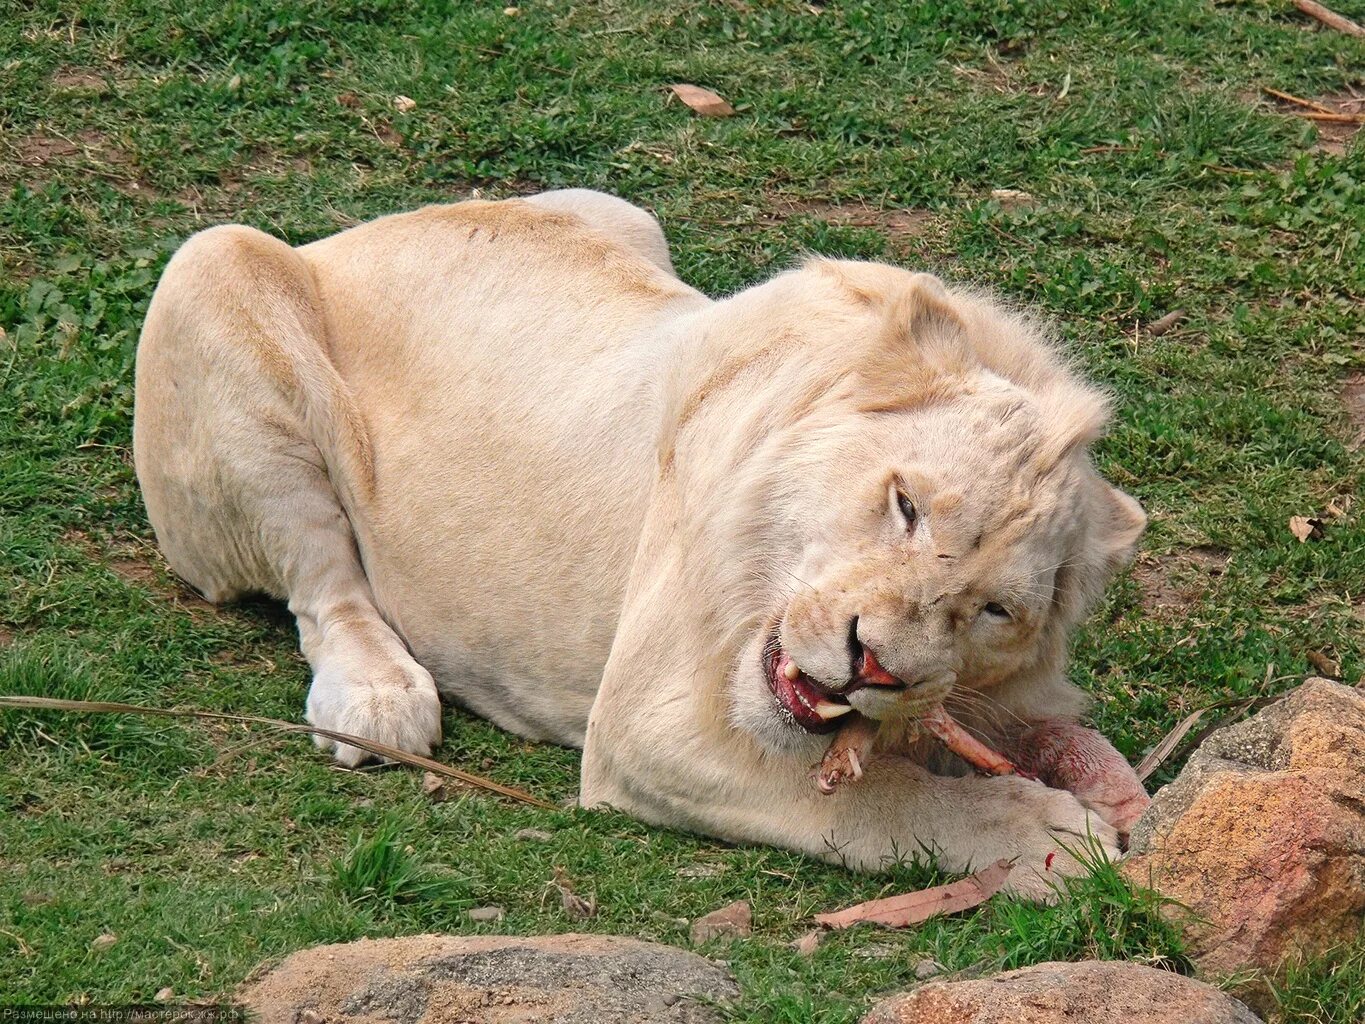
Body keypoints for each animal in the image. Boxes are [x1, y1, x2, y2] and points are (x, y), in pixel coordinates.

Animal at [133, 191, 1146, 895]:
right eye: (905, 505)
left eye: (994, 611)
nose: (874, 664)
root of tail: (348, 236)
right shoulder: (643, 727)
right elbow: (883, 801)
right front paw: (1048, 836)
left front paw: (1093, 775)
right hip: (213, 265)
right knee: (322, 582)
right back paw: (377, 702)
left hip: (621, 211)